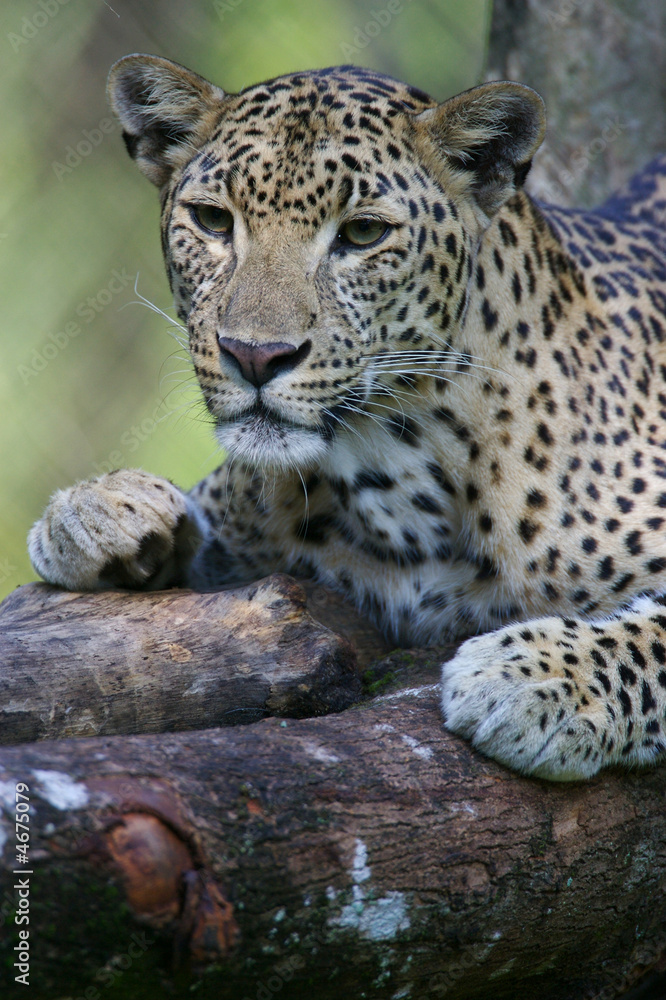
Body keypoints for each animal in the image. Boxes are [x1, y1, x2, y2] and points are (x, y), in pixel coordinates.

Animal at [28, 54, 666, 782]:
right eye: (213, 221)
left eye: (363, 233)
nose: (255, 355)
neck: (399, 472)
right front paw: (99, 512)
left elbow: (653, 635)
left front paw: (538, 679)